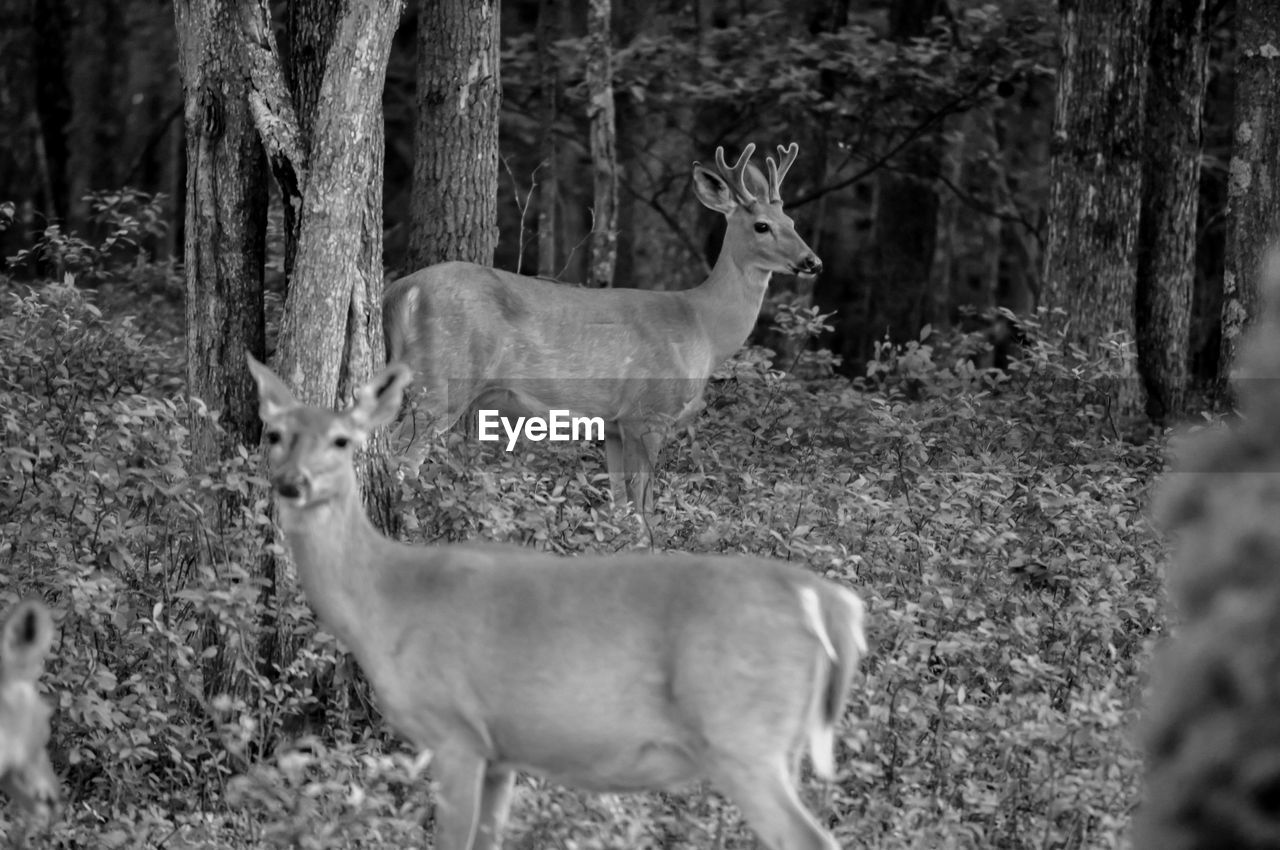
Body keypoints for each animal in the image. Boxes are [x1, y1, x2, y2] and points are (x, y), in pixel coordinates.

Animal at [247, 353, 870, 850]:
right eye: (275, 435)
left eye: (342, 440)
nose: (292, 483)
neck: (386, 599)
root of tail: (825, 600)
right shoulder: (501, 752)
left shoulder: (455, 731)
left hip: (743, 735)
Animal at [384, 142, 819, 512]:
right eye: (762, 226)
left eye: (792, 220)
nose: (812, 261)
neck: (704, 328)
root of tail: (401, 289)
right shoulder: (648, 413)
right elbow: (645, 507)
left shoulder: (612, 425)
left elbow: (620, 504)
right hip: (443, 379)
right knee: (401, 457)